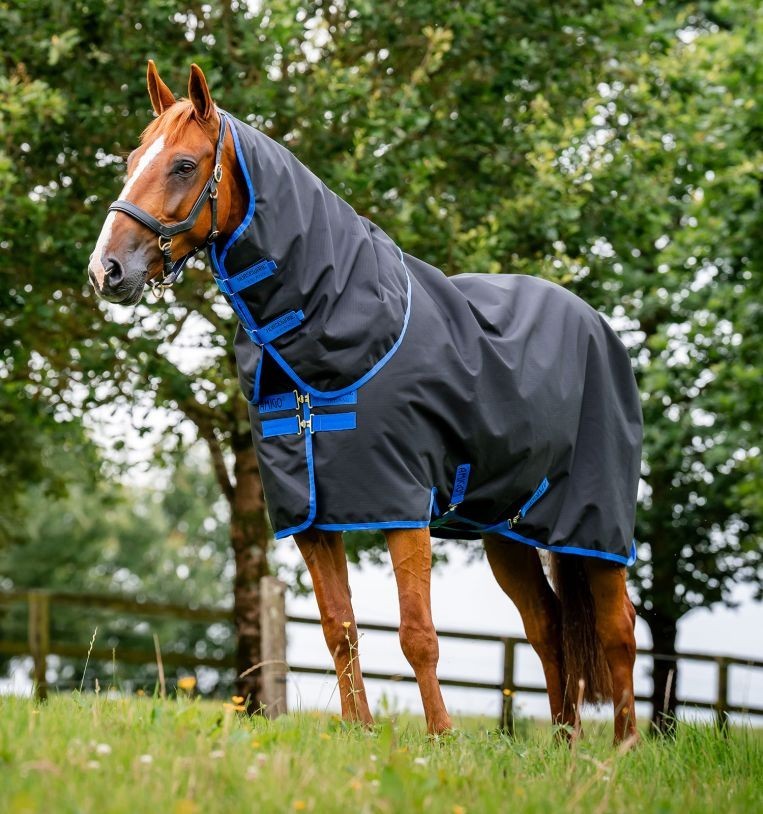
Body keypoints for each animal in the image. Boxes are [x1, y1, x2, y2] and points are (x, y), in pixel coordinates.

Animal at [89, 62, 641, 744]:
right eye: (133, 158)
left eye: (185, 165)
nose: (106, 270)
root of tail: (597, 324)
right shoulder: (311, 516)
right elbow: (339, 628)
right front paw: (362, 734)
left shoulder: (401, 504)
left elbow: (417, 633)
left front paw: (440, 739)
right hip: (505, 530)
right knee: (547, 626)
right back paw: (566, 746)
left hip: (595, 524)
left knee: (618, 631)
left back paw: (622, 749)